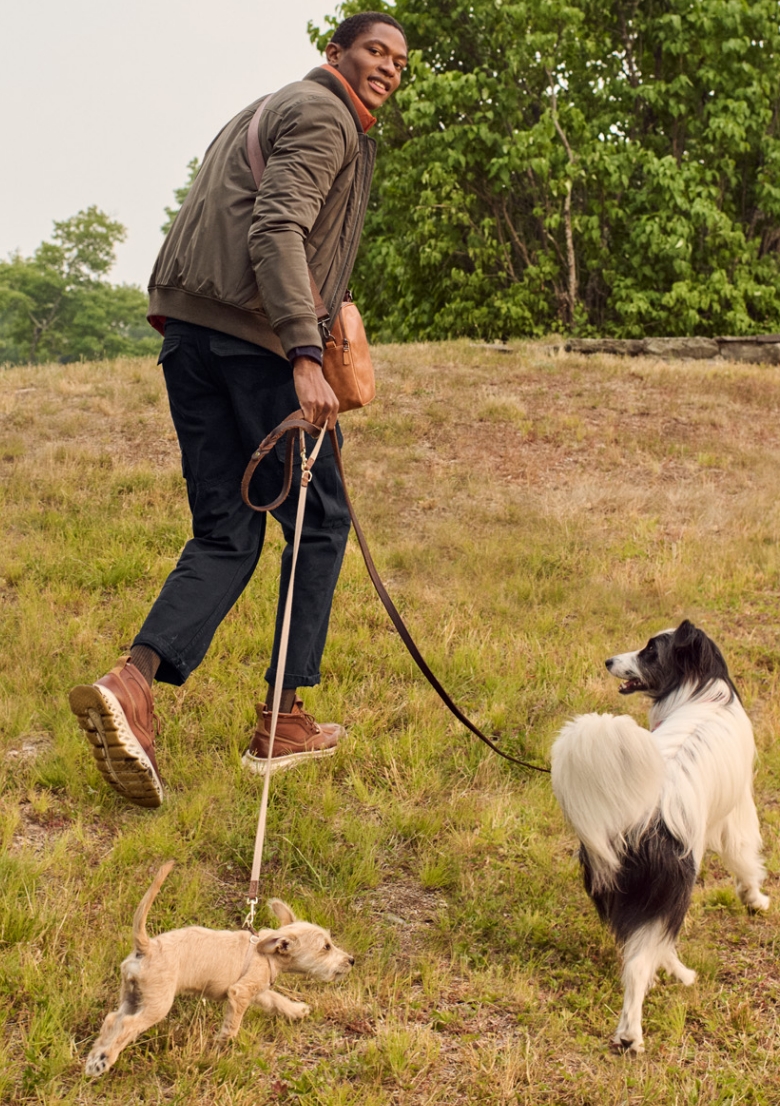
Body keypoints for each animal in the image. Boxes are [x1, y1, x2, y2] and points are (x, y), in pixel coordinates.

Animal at [550, 623, 770, 1052]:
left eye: (650, 652)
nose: (608, 661)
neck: (702, 691)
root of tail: (635, 819)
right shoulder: (738, 812)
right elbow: (747, 861)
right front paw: (755, 900)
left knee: (648, 944)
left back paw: (679, 975)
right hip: (678, 885)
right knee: (641, 962)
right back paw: (631, 1033)